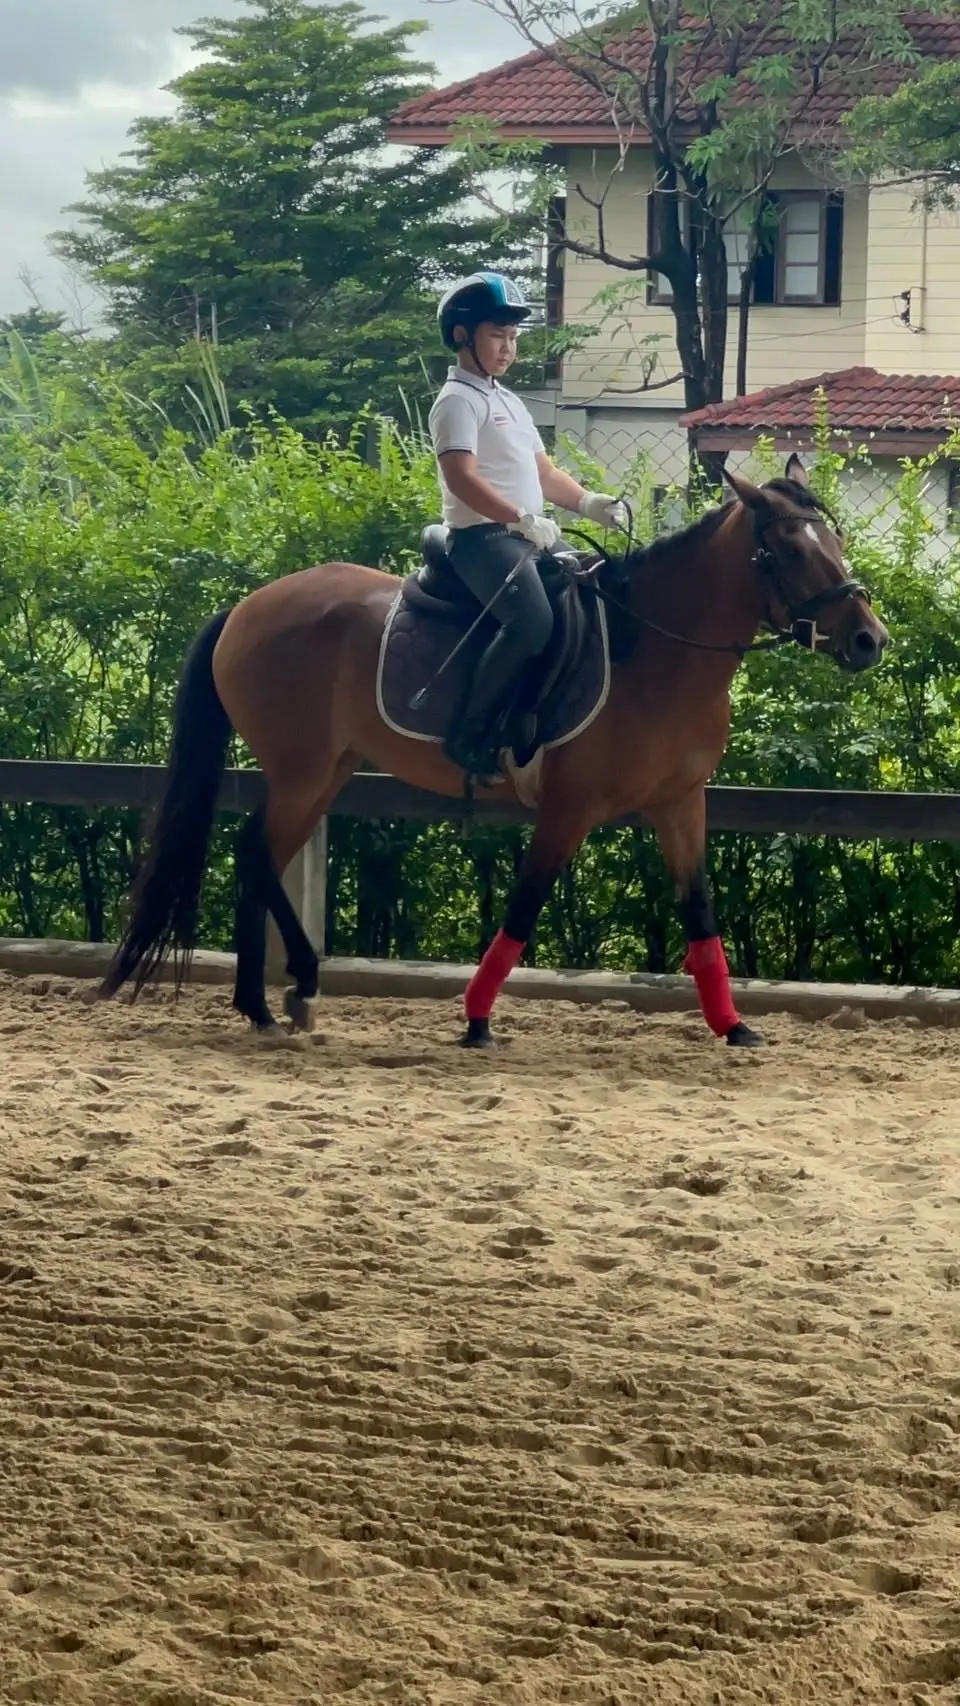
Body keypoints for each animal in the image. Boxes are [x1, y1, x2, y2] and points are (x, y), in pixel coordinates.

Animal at [98, 454, 888, 1049]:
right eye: (792, 550)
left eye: (835, 540)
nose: (867, 640)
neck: (653, 648)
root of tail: (247, 605)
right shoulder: (570, 809)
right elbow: (524, 907)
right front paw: (477, 1019)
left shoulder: (679, 803)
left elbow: (700, 913)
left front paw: (732, 1025)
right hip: (302, 772)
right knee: (257, 853)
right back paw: (282, 994)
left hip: (326, 772)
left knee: (258, 856)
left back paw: (271, 1001)